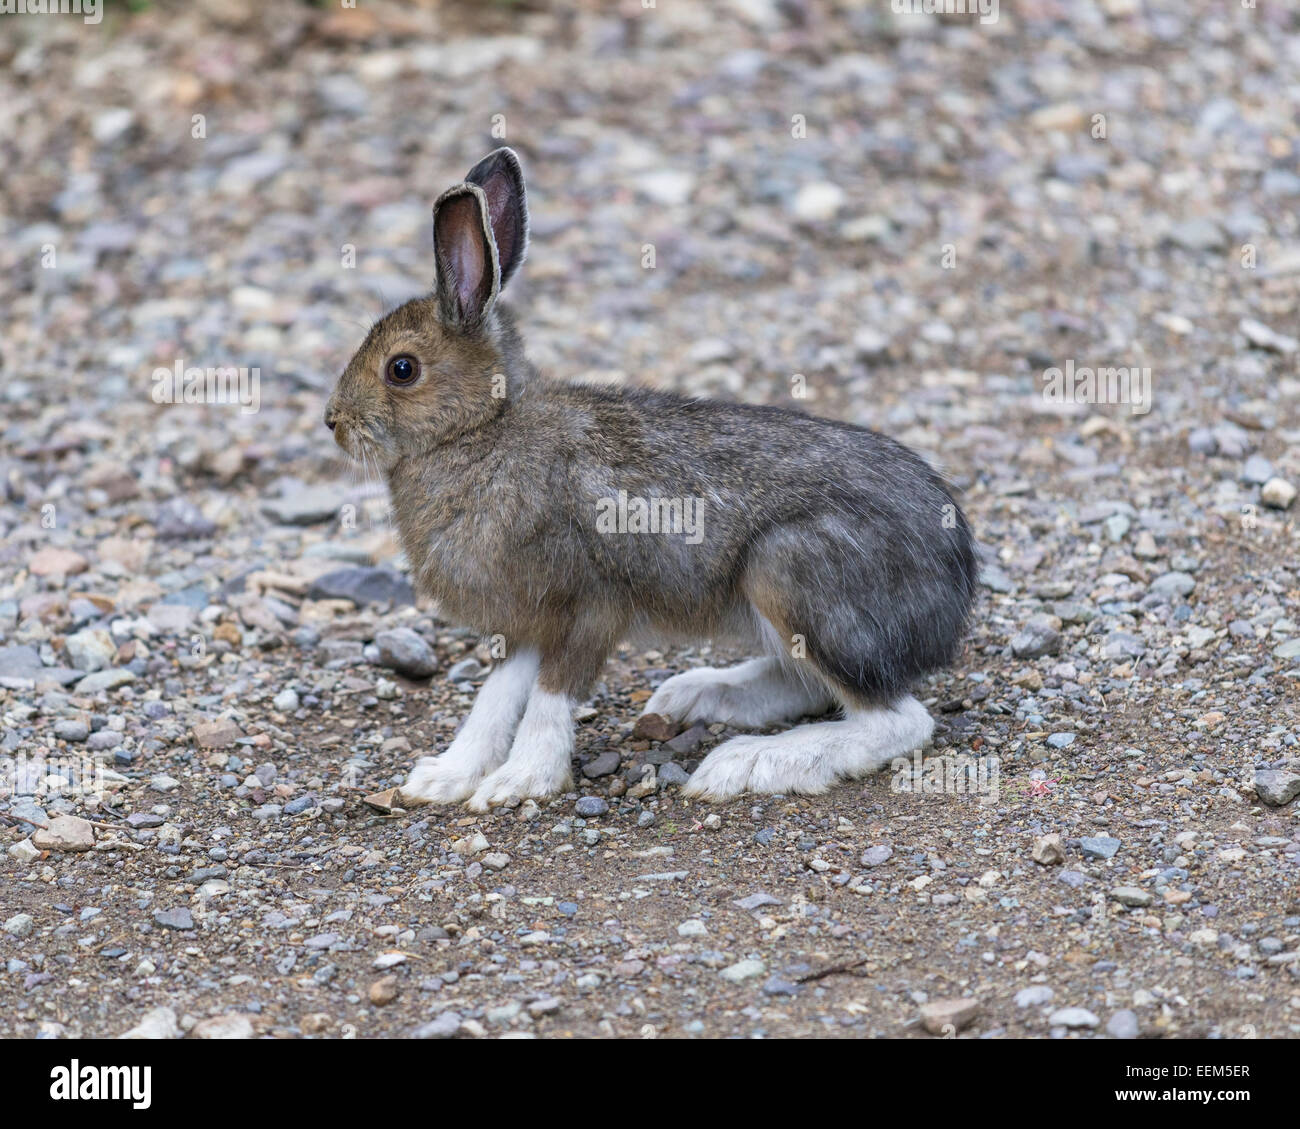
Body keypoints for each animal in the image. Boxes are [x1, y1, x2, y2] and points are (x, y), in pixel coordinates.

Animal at [324, 147, 978, 810]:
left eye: (402, 369)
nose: (333, 423)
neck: (484, 429)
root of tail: (953, 592)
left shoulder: (590, 603)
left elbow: (549, 698)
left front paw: (521, 780)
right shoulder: (528, 621)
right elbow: (495, 697)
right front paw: (444, 777)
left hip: (791, 573)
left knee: (896, 719)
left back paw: (750, 761)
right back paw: (697, 696)